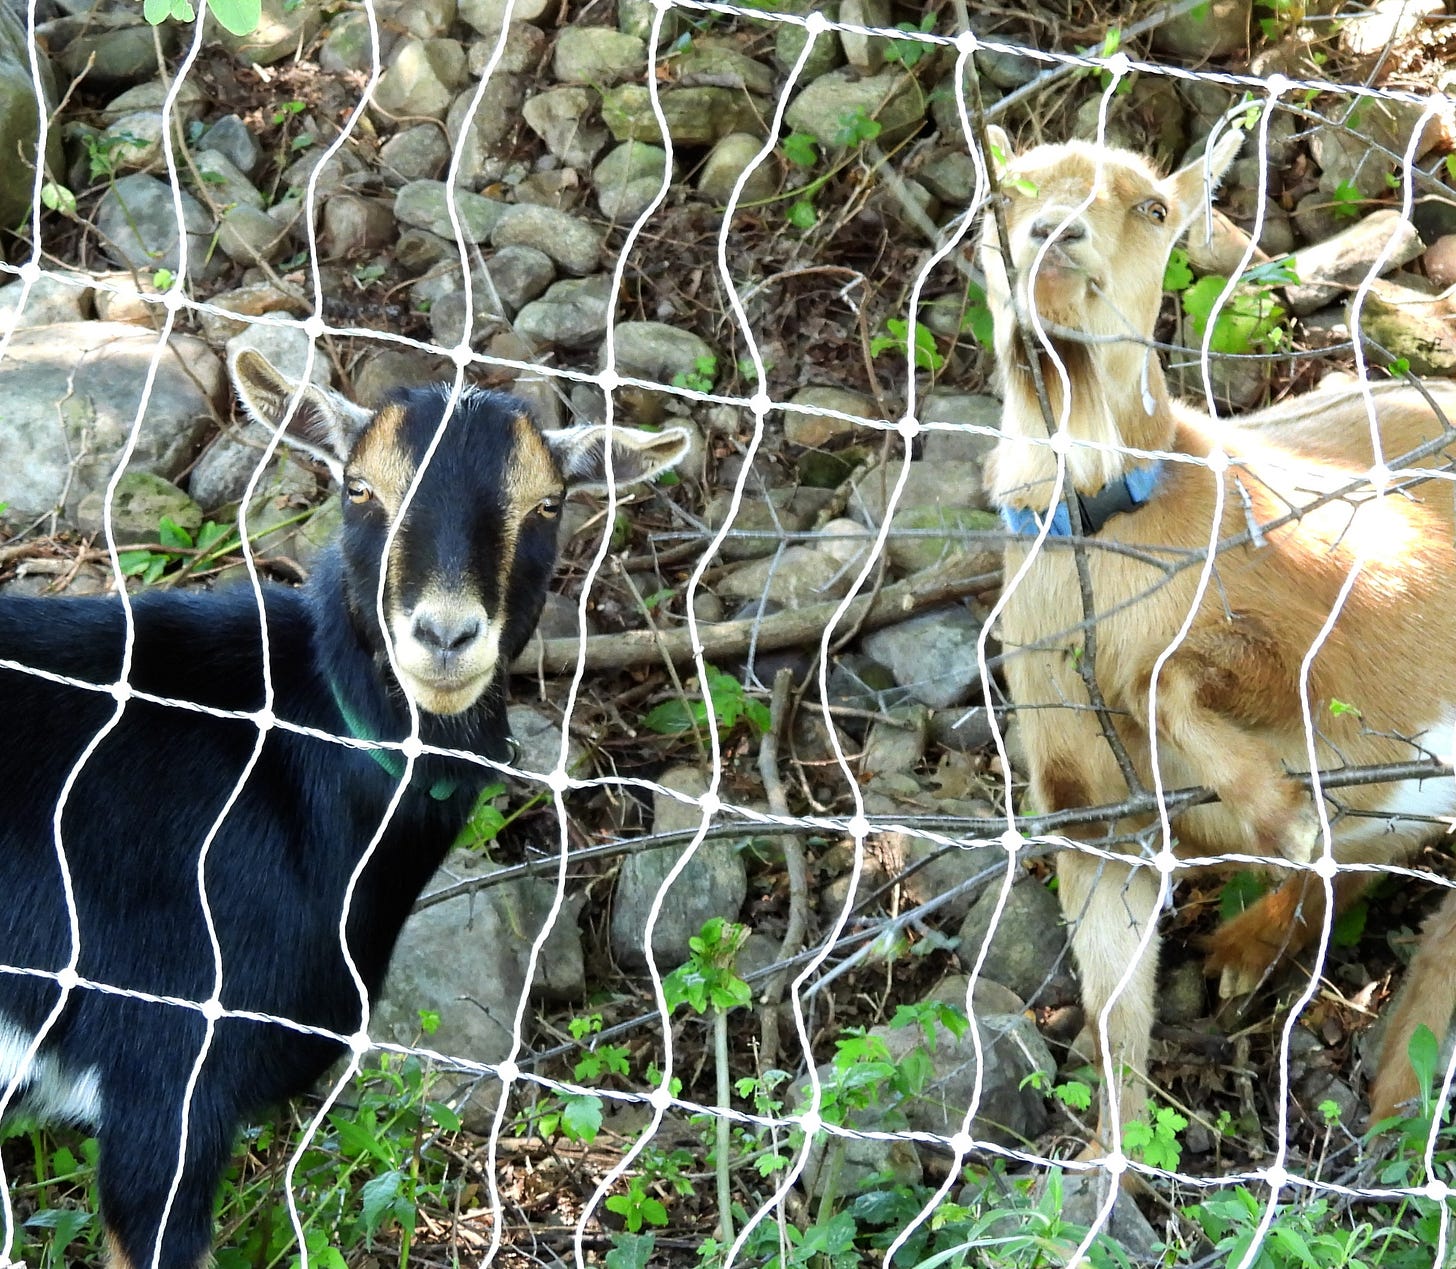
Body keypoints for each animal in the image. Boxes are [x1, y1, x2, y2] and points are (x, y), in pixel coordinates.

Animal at [979, 124, 1456, 1147]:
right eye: (1004, 194)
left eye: (1155, 206)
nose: (1054, 236)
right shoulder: (1095, 814)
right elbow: (1114, 1008)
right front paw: (1103, 1165)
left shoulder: (1326, 642)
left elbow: (1173, 683)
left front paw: (1276, 810)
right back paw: (1249, 952)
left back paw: (1395, 1086)